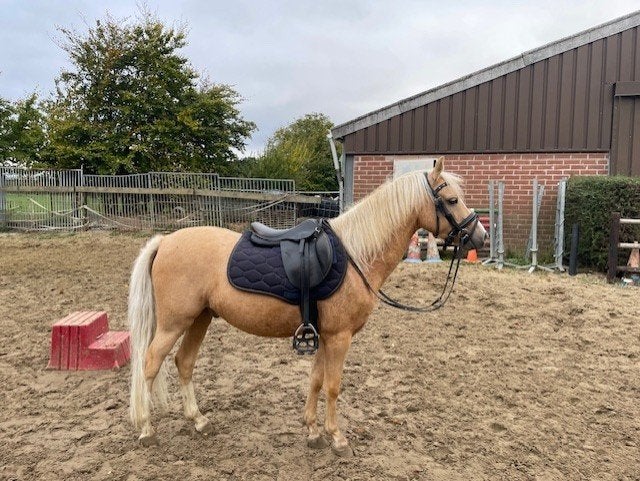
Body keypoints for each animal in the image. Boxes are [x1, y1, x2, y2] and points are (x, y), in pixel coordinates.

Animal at [128, 157, 487, 456]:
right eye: (452, 200)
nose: (480, 236)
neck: (355, 256)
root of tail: (165, 241)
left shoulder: (325, 336)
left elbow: (315, 381)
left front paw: (313, 432)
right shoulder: (340, 338)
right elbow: (333, 386)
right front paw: (337, 438)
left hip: (199, 318)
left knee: (184, 363)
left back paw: (199, 420)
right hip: (174, 323)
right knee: (150, 364)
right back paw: (147, 429)